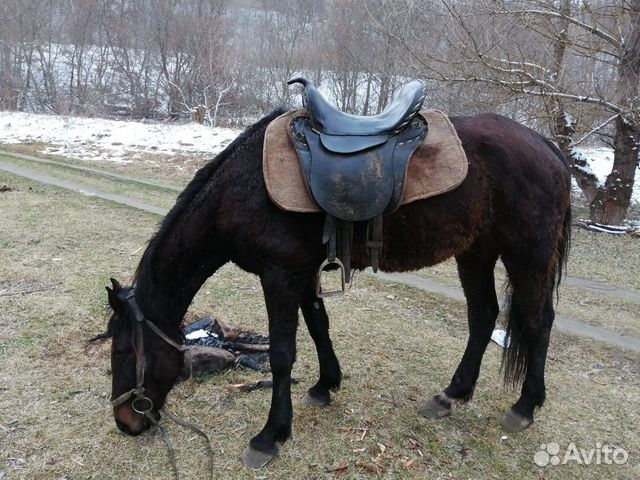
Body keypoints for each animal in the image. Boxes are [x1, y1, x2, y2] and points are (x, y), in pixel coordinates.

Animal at [107, 107, 572, 466]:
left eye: (124, 352)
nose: (126, 423)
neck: (242, 186)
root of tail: (546, 146)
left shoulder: (279, 275)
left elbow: (282, 354)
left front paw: (270, 436)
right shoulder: (301, 272)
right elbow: (319, 326)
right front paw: (325, 385)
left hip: (526, 255)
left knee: (538, 321)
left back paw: (524, 406)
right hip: (476, 252)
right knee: (483, 316)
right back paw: (451, 395)